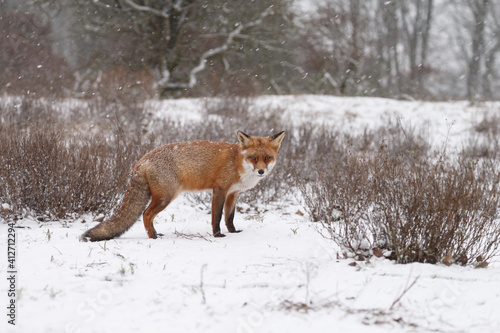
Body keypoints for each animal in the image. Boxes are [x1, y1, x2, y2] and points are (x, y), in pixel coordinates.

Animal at [81, 130, 286, 241]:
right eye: (253, 158)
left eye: (267, 158)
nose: (261, 171)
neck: (237, 162)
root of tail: (142, 160)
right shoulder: (219, 190)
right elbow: (217, 216)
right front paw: (217, 235)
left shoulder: (233, 193)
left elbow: (229, 217)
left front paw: (234, 231)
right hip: (165, 197)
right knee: (146, 215)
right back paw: (153, 237)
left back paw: (156, 234)